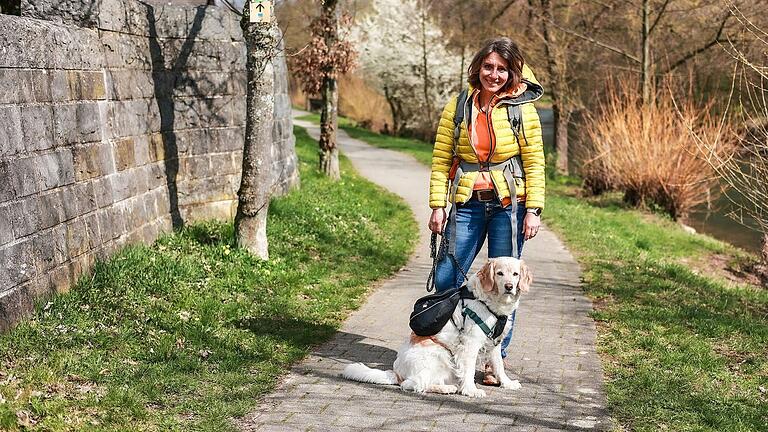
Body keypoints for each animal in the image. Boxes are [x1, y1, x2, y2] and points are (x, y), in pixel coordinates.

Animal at [344, 256, 532, 398]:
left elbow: (499, 366)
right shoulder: (471, 343)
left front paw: (507, 383)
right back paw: (446, 388)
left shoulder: (494, 343)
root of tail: (396, 372)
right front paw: (471, 390)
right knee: (413, 384)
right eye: (499, 273)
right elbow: (469, 370)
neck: (490, 302)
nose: (509, 286)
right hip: (438, 354)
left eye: (515, 274)